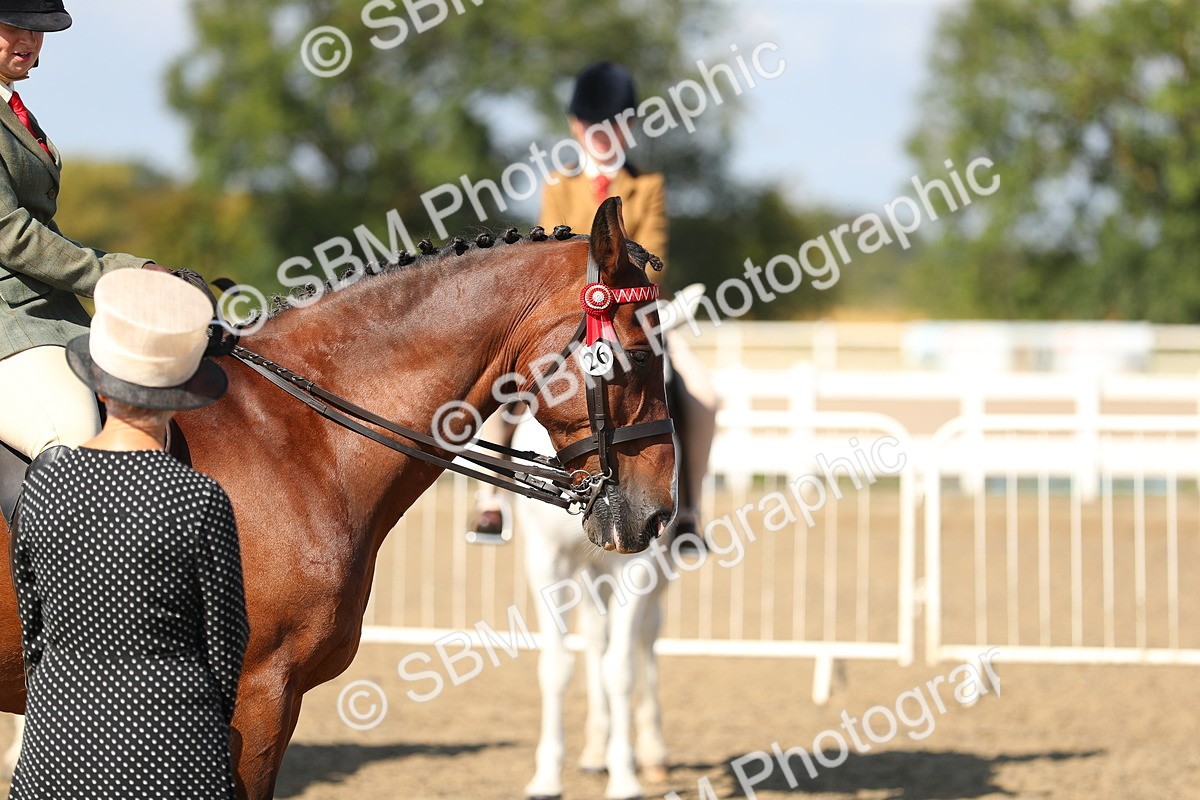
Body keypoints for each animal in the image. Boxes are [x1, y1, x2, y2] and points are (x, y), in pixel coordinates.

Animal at [513, 416, 672, 800]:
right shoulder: (547, 561)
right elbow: (556, 667)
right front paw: (547, 778)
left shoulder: (638, 566)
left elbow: (621, 669)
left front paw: (624, 780)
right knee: (598, 639)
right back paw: (597, 751)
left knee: (646, 638)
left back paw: (651, 752)